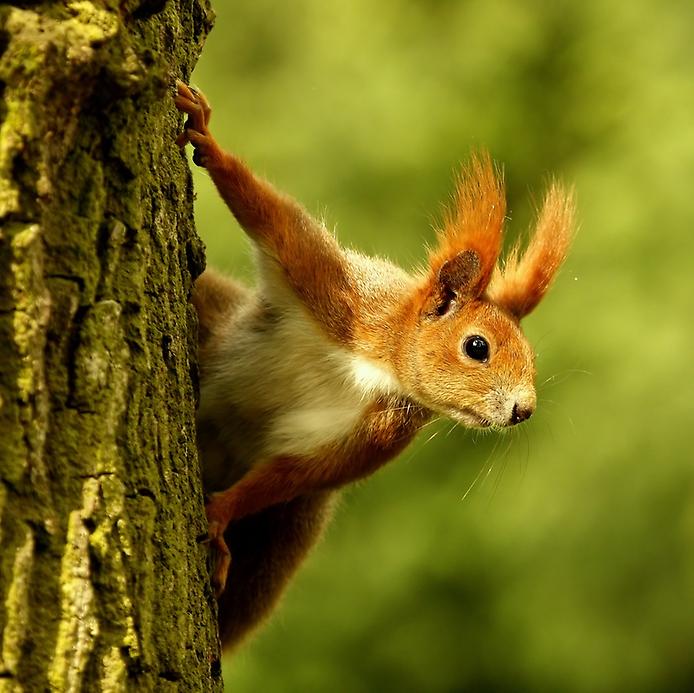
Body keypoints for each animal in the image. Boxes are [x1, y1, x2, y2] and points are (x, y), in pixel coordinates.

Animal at [174, 80, 574, 651]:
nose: (525, 410)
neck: (376, 362)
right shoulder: (338, 295)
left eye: (534, 358)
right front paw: (208, 140)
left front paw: (222, 513)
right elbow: (273, 218)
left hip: (285, 536)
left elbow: (291, 473)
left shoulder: (374, 434)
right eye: (477, 347)